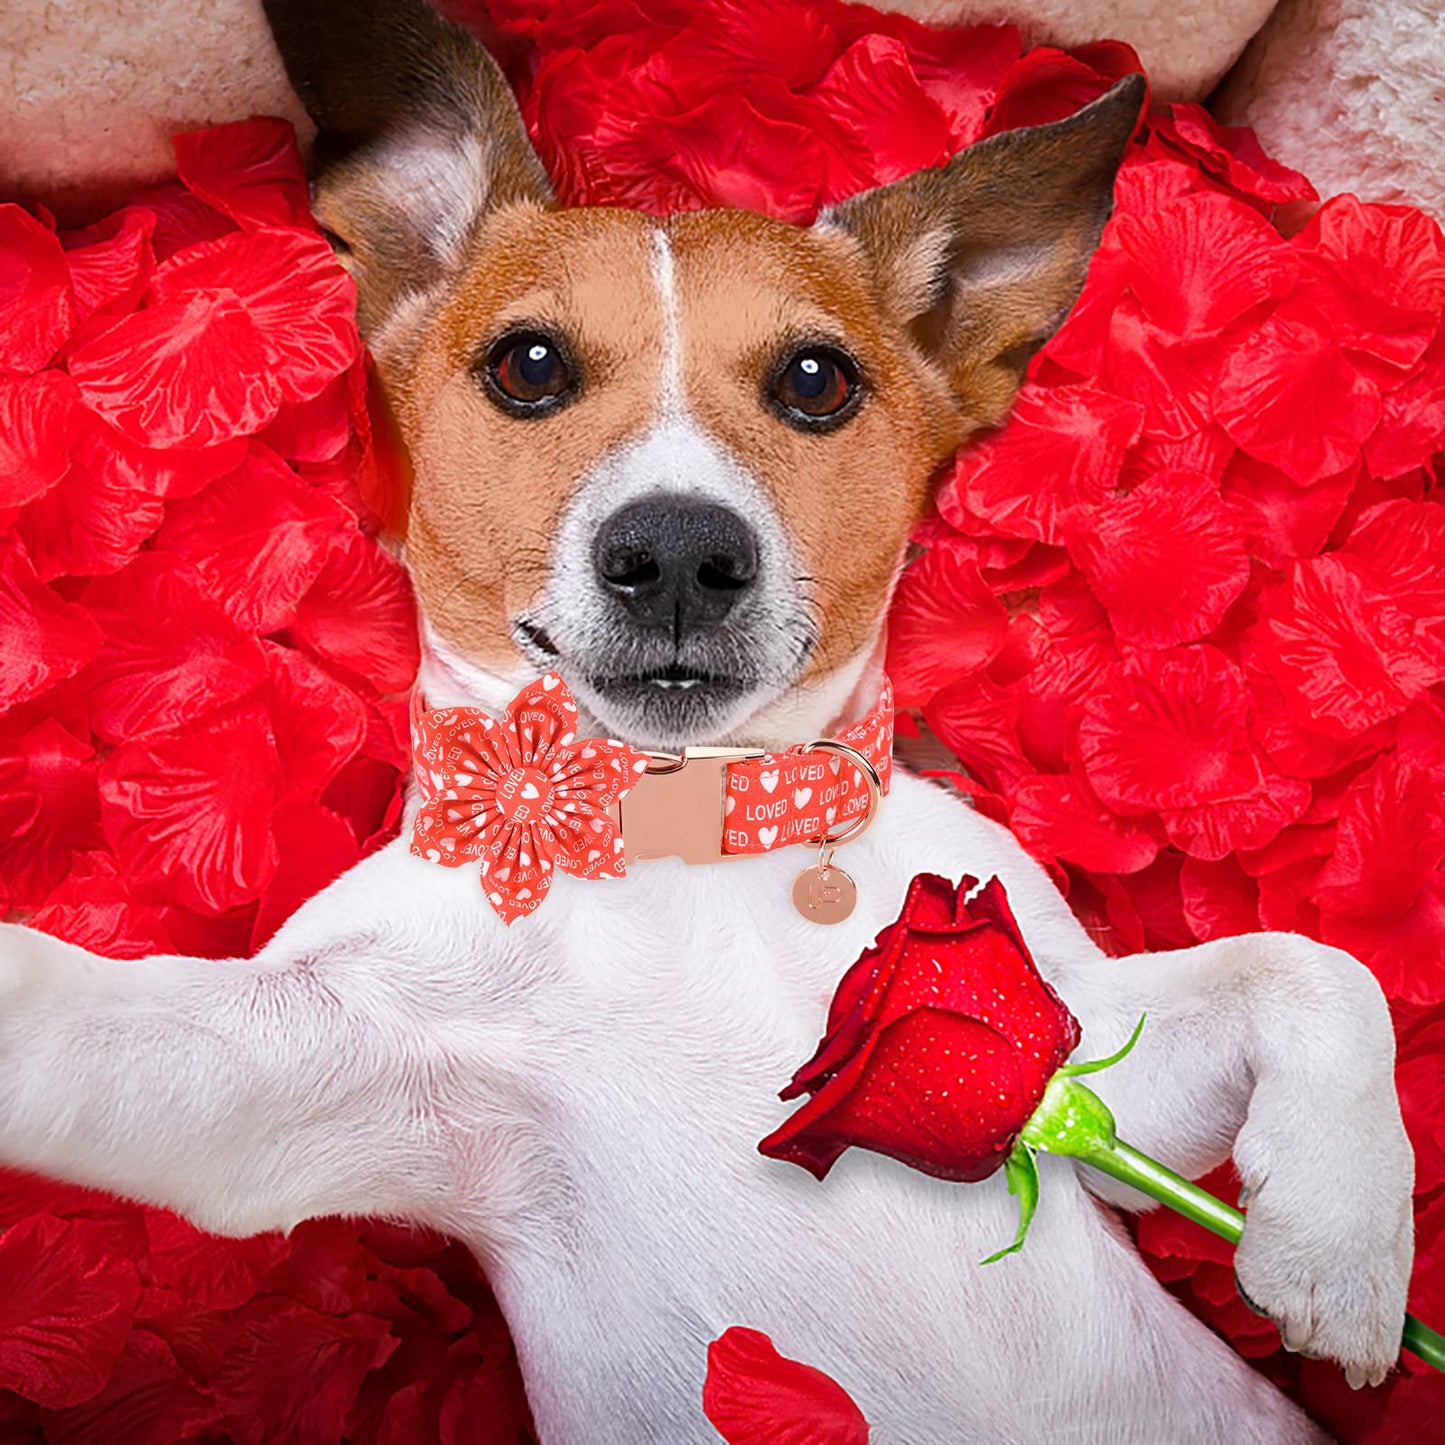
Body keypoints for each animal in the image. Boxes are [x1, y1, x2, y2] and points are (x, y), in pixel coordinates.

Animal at [0, 0, 1410, 1439]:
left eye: (814, 380)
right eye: (527, 365)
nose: (677, 549)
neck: (681, 828)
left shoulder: (1074, 1067)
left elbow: (1314, 966)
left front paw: (1340, 1247)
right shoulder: (283, 1075)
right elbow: (88, 1021)